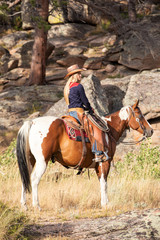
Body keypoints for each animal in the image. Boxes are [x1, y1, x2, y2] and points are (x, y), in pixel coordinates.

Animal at [15, 100, 152, 210]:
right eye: (140, 115)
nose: (151, 130)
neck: (109, 130)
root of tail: (32, 123)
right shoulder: (104, 162)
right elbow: (104, 182)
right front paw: (105, 204)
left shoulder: (97, 165)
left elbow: (101, 182)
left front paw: (104, 202)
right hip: (42, 161)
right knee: (34, 179)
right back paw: (36, 205)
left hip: (30, 161)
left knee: (25, 178)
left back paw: (24, 205)